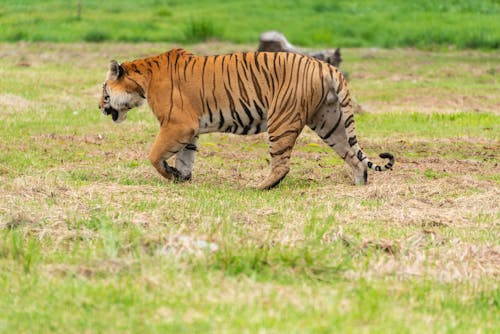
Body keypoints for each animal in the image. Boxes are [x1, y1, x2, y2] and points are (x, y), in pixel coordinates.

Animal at [98, 48, 394, 189]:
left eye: (103, 90)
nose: (99, 106)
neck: (142, 81)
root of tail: (326, 65)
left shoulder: (177, 125)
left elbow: (154, 156)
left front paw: (171, 175)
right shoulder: (190, 131)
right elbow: (185, 158)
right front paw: (181, 178)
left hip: (281, 119)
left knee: (281, 163)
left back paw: (259, 187)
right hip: (330, 121)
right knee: (355, 157)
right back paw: (359, 186)